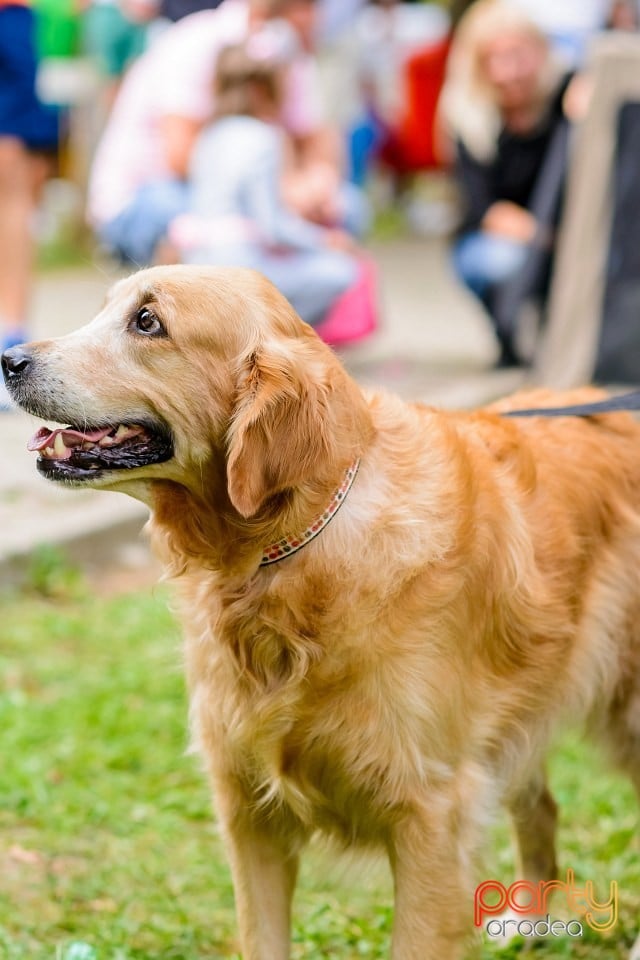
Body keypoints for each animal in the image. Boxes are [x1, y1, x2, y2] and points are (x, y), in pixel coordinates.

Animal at [1, 264, 640, 960]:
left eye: (148, 322)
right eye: (105, 308)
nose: (11, 359)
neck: (286, 549)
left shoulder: (430, 816)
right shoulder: (248, 812)